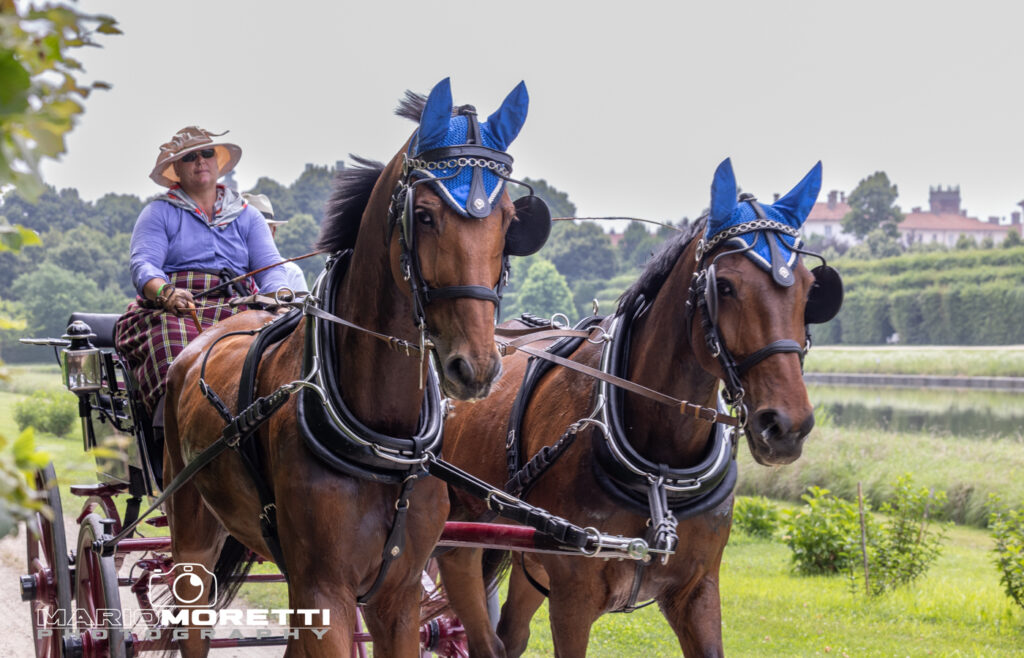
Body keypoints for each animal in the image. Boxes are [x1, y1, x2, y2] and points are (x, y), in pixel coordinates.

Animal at [161, 77, 551, 657]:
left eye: (507, 220)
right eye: (425, 214)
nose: (476, 366)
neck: (383, 438)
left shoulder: (398, 592)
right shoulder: (326, 588)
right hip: (193, 533)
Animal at [437, 158, 844, 657]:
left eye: (810, 290)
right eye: (725, 287)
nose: (786, 426)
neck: (659, 472)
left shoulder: (698, 590)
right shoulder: (573, 594)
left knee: (510, 634)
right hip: (463, 529)